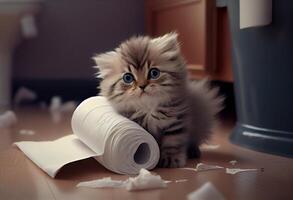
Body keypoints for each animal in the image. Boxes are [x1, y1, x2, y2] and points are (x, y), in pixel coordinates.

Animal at [93, 33, 221, 168]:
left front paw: (170, 160)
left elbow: (172, 143)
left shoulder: (176, 123)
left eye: (154, 73)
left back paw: (193, 151)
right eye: (128, 78)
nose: (142, 86)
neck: (148, 107)